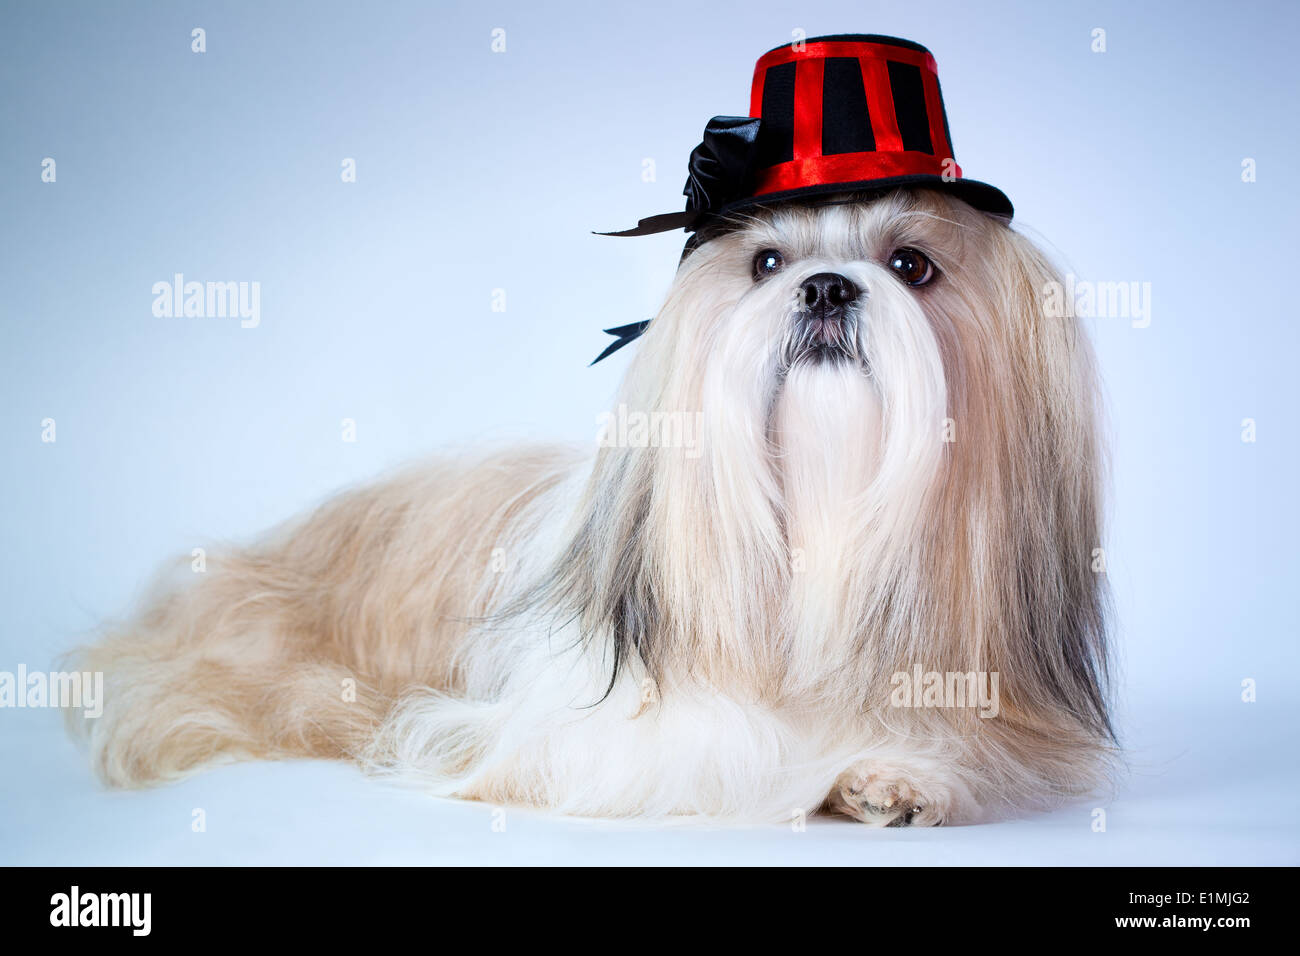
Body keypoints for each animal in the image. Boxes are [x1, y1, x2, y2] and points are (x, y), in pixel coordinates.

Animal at [68, 39, 1118, 832]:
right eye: (766, 262)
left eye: (913, 264)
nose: (825, 286)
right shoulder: (572, 731)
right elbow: (725, 743)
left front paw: (896, 771)